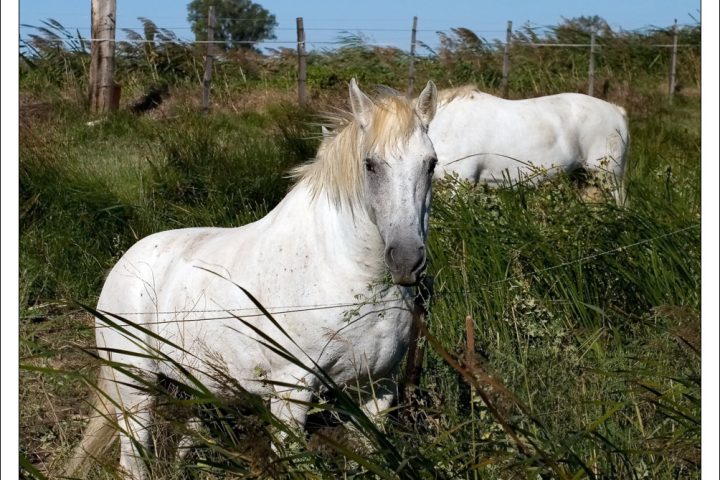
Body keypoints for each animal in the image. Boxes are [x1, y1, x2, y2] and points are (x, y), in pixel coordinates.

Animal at [64, 79, 439, 479]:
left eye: (430, 164)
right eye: (370, 165)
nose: (406, 259)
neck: (347, 275)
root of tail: (124, 264)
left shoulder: (376, 388)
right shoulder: (291, 390)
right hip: (134, 385)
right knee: (133, 457)